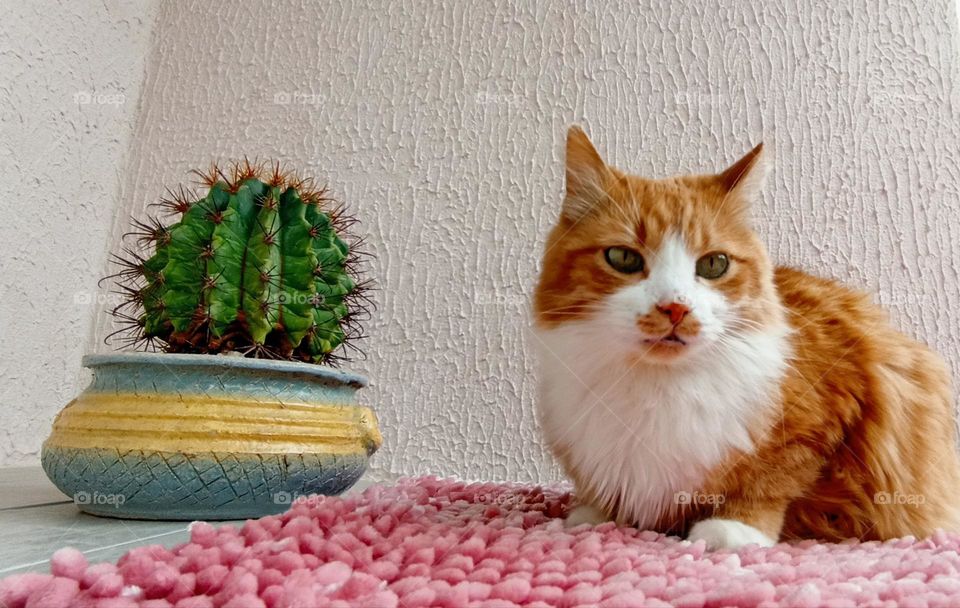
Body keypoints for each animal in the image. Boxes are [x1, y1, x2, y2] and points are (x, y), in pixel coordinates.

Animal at [532, 126, 960, 548]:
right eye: (623, 259)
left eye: (714, 264)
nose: (675, 308)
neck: (659, 384)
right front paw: (596, 516)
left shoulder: (825, 415)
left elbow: (768, 482)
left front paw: (734, 528)